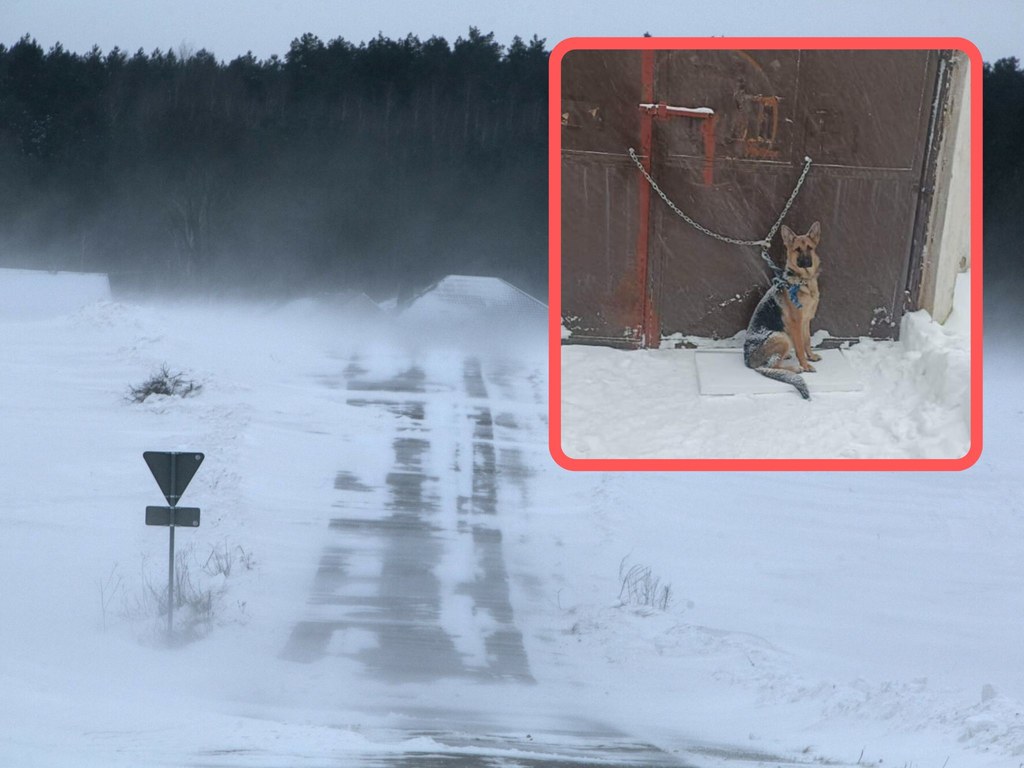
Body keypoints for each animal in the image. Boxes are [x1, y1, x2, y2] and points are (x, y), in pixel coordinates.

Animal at [741, 221, 819, 399]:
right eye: (797, 249)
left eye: (810, 248)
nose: (806, 262)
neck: (803, 280)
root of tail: (749, 361)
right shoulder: (796, 324)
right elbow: (800, 348)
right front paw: (805, 365)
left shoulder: (806, 321)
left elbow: (807, 341)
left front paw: (811, 356)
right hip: (781, 336)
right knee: (772, 365)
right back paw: (796, 368)